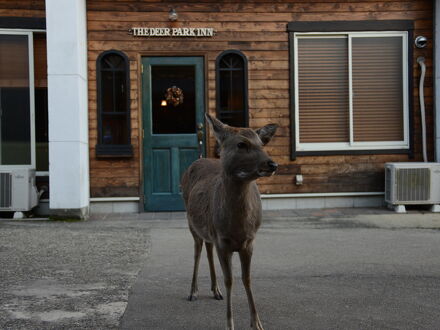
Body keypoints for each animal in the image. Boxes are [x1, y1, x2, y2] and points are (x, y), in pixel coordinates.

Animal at [180, 114, 276, 330]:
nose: (272, 164)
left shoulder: (249, 241)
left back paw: (215, 291)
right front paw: (230, 324)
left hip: (208, 231)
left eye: (262, 143)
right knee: (197, 251)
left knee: (208, 250)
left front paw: (256, 323)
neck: (237, 226)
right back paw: (193, 291)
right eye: (241, 144)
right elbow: (230, 280)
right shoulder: (223, 241)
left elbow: (247, 279)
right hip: (191, 222)